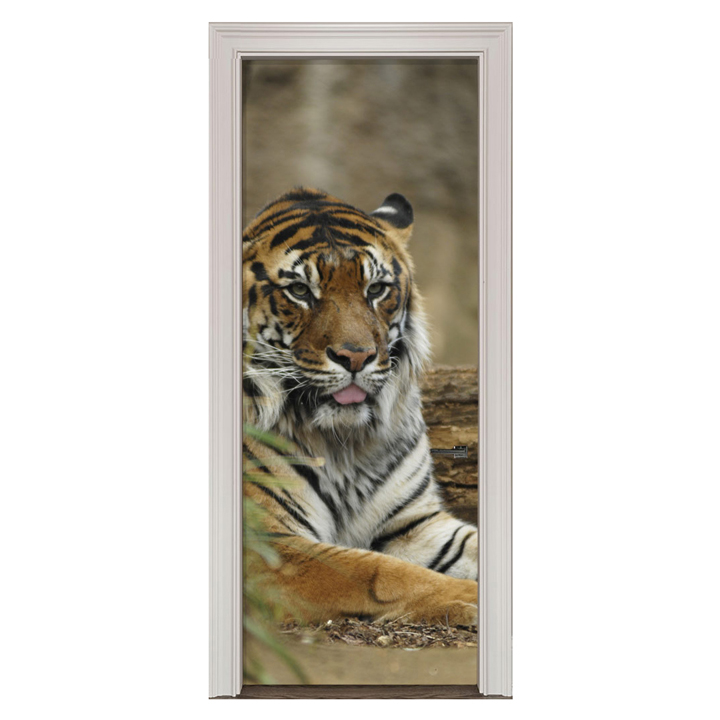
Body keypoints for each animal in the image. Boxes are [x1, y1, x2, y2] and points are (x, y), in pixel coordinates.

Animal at [242, 187, 478, 625]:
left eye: (376, 289)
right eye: (300, 291)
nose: (356, 357)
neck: (344, 441)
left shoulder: (415, 524)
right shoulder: (265, 542)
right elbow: (374, 571)